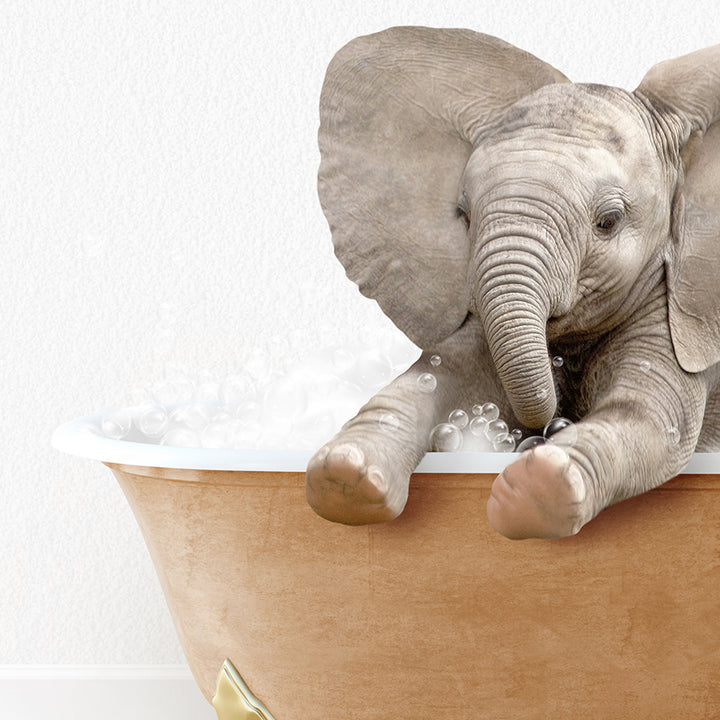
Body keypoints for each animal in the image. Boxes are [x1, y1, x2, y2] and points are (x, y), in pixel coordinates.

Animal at [306, 26, 720, 540]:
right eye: (463, 216)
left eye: (608, 222)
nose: (545, 429)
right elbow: (438, 377)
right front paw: (344, 475)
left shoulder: (685, 311)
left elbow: (651, 419)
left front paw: (537, 488)